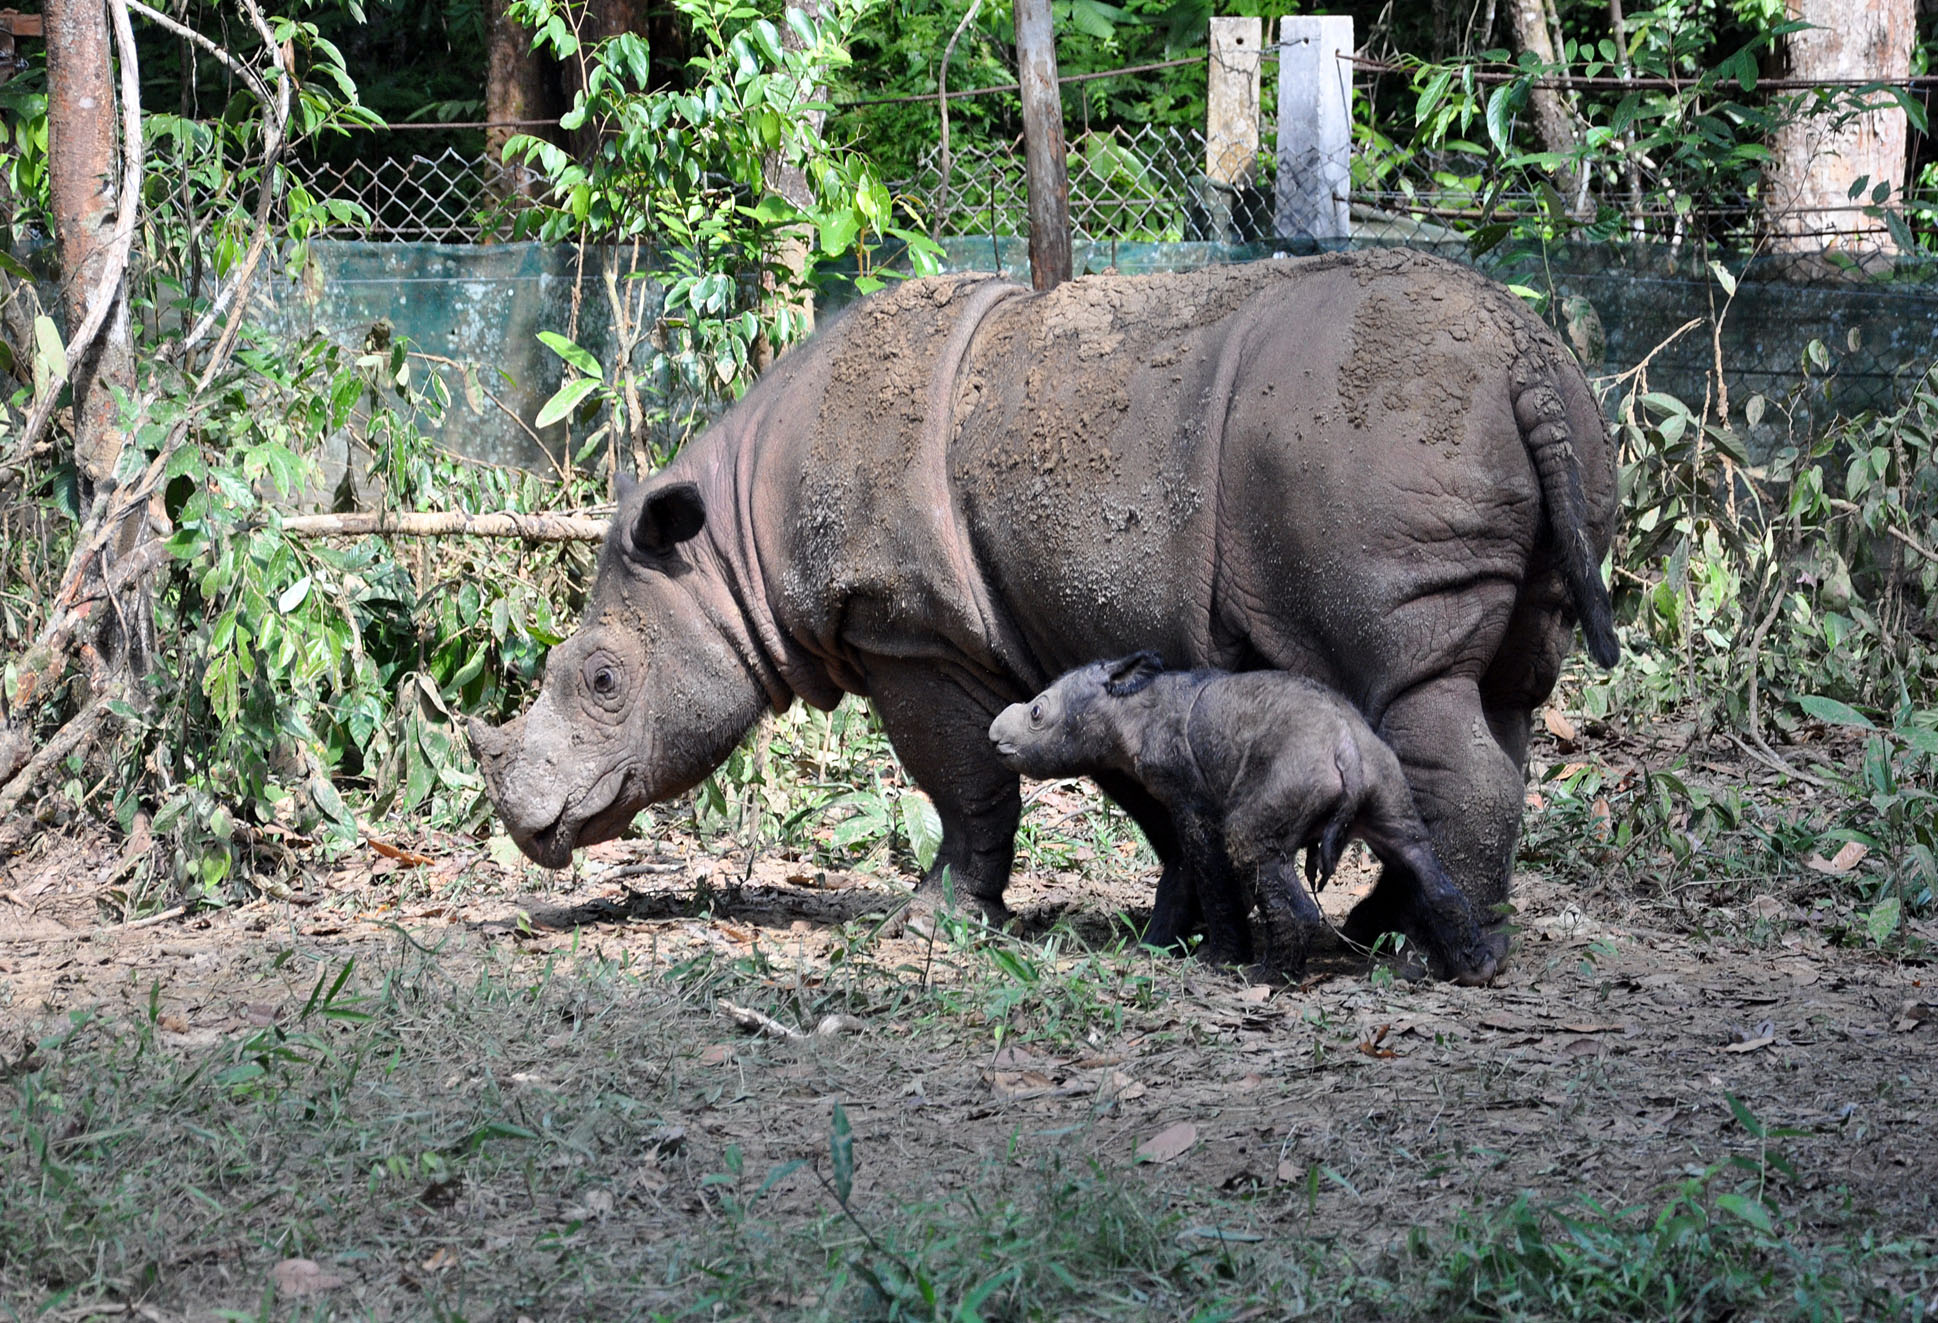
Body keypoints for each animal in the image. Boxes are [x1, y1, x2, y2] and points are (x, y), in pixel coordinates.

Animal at [984, 650, 1496, 984]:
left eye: (1036, 713)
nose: (992, 736)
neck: (1131, 705)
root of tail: (1346, 750)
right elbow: (1185, 873)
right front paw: (1156, 944)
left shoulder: (1191, 799)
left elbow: (1208, 874)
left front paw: (1220, 957)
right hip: (1385, 779)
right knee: (1418, 858)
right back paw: (1475, 968)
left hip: (1287, 779)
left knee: (1256, 852)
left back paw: (1267, 975)